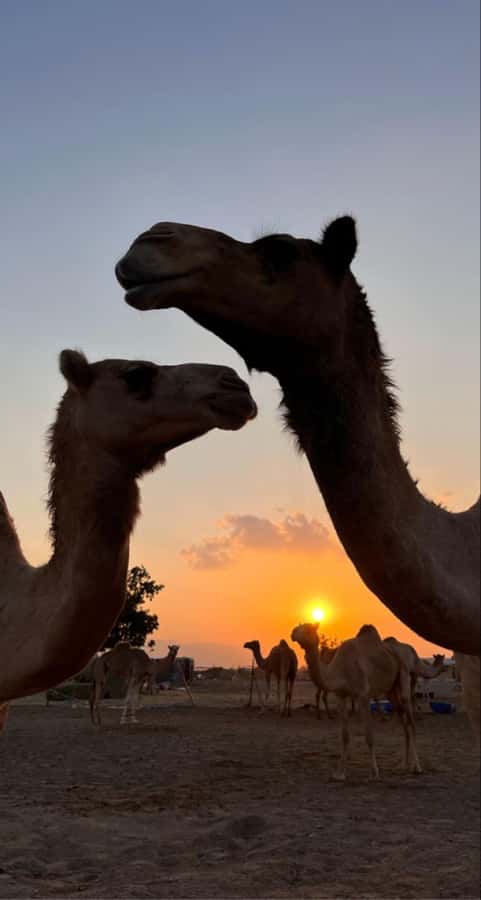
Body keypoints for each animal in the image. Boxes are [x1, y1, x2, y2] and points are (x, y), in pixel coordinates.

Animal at [292, 622, 421, 780]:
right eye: (299, 626)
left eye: (308, 629)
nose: (293, 633)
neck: (340, 670)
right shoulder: (341, 696)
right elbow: (344, 736)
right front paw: (340, 773)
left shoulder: (363, 695)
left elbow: (369, 735)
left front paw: (374, 772)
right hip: (391, 690)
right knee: (403, 720)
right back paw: (403, 765)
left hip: (404, 673)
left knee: (411, 720)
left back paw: (417, 767)